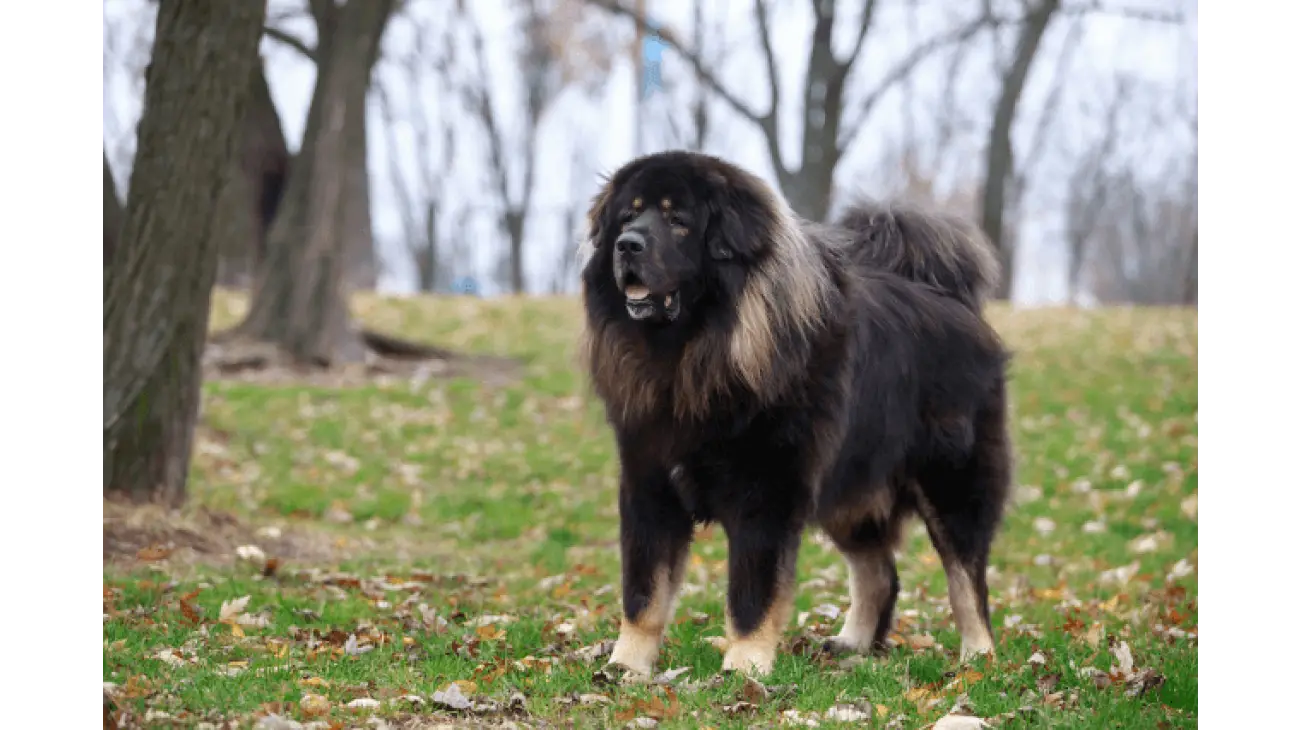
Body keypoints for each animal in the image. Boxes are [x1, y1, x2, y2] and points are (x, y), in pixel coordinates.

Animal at [579, 149, 1013, 675]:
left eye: (678, 221)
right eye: (629, 216)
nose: (628, 245)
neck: (691, 356)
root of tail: (953, 301)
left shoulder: (766, 492)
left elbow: (752, 594)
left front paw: (744, 667)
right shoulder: (650, 486)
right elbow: (643, 592)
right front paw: (625, 666)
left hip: (951, 486)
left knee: (967, 581)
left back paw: (978, 658)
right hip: (850, 492)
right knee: (880, 573)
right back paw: (852, 644)